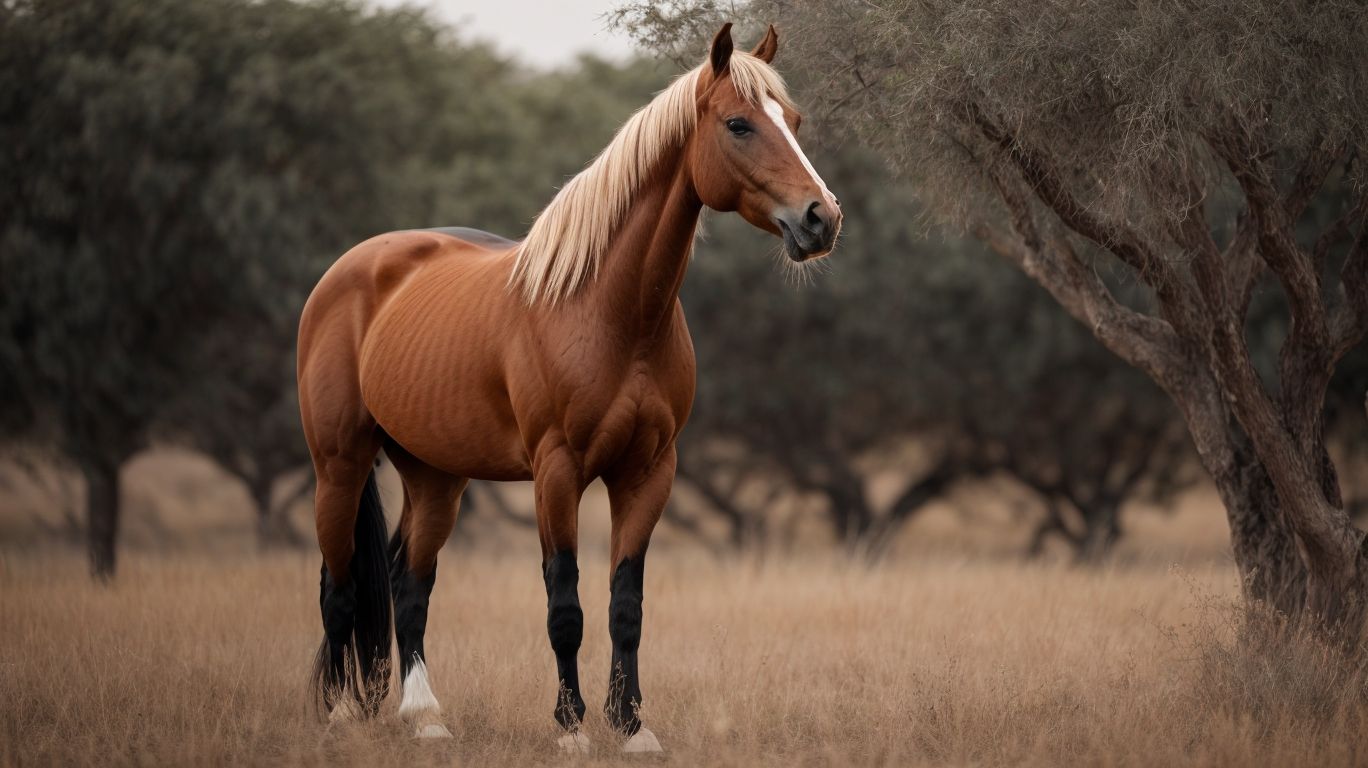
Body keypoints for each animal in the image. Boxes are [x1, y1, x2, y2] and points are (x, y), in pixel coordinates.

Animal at [297, 22, 840, 753]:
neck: (608, 310)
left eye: (795, 121)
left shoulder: (648, 472)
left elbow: (625, 606)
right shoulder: (557, 472)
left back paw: (425, 717)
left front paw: (633, 725)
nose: (821, 218)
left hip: (435, 476)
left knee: (410, 583)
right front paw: (572, 727)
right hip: (340, 464)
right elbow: (566, 606)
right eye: (739, 124)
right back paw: (338, 717)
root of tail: (348, 271)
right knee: (340, 589)